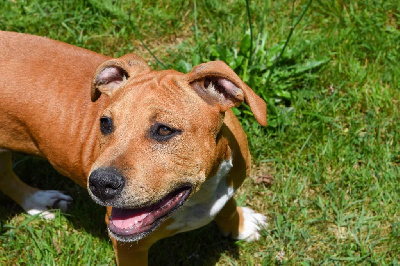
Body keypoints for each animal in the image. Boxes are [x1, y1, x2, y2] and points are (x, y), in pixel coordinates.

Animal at [0, 31, 268, 264]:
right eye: (105, 123)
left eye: (164, 130)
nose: (100, 184)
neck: (200, 194)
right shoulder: (129, 246)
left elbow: (227, 206)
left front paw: (240, 225)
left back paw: (39, 201)